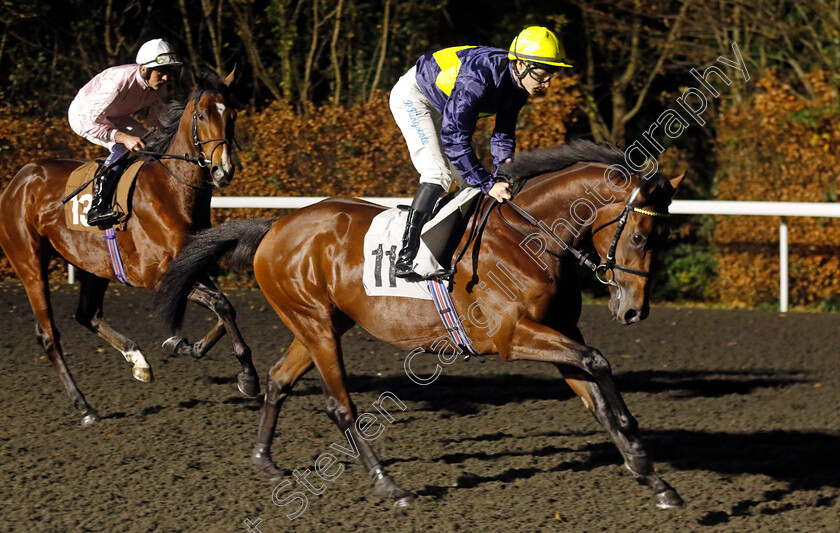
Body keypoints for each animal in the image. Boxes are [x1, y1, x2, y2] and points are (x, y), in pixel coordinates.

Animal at [0, 69, 260, 424]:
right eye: (202, 115)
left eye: (231, 115)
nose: (223, 170)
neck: (172, 191)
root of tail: (18, 181)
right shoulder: (157, 276)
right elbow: (222, 305)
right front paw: (248, 375)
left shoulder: (191, 266)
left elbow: (224, 309)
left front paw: (182, 345)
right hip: (29, 263)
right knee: (48, 335)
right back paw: (84, 406)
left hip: (93, 266)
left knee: (88, 315)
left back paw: (139, 362)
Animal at [154, 141, 684, 508]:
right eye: (641, 235)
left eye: (664, 234)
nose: (634, 311)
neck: (529, 235)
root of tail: (275, 227)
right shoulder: (512, 336)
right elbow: (598, 360)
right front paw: (641, 454)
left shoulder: (560, 334)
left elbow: (596, 395)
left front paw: (654, 477)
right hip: (315, 323)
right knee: (340, 406)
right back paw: (390, 485)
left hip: (321, 323)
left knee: (280, 379)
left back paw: (265, 460)